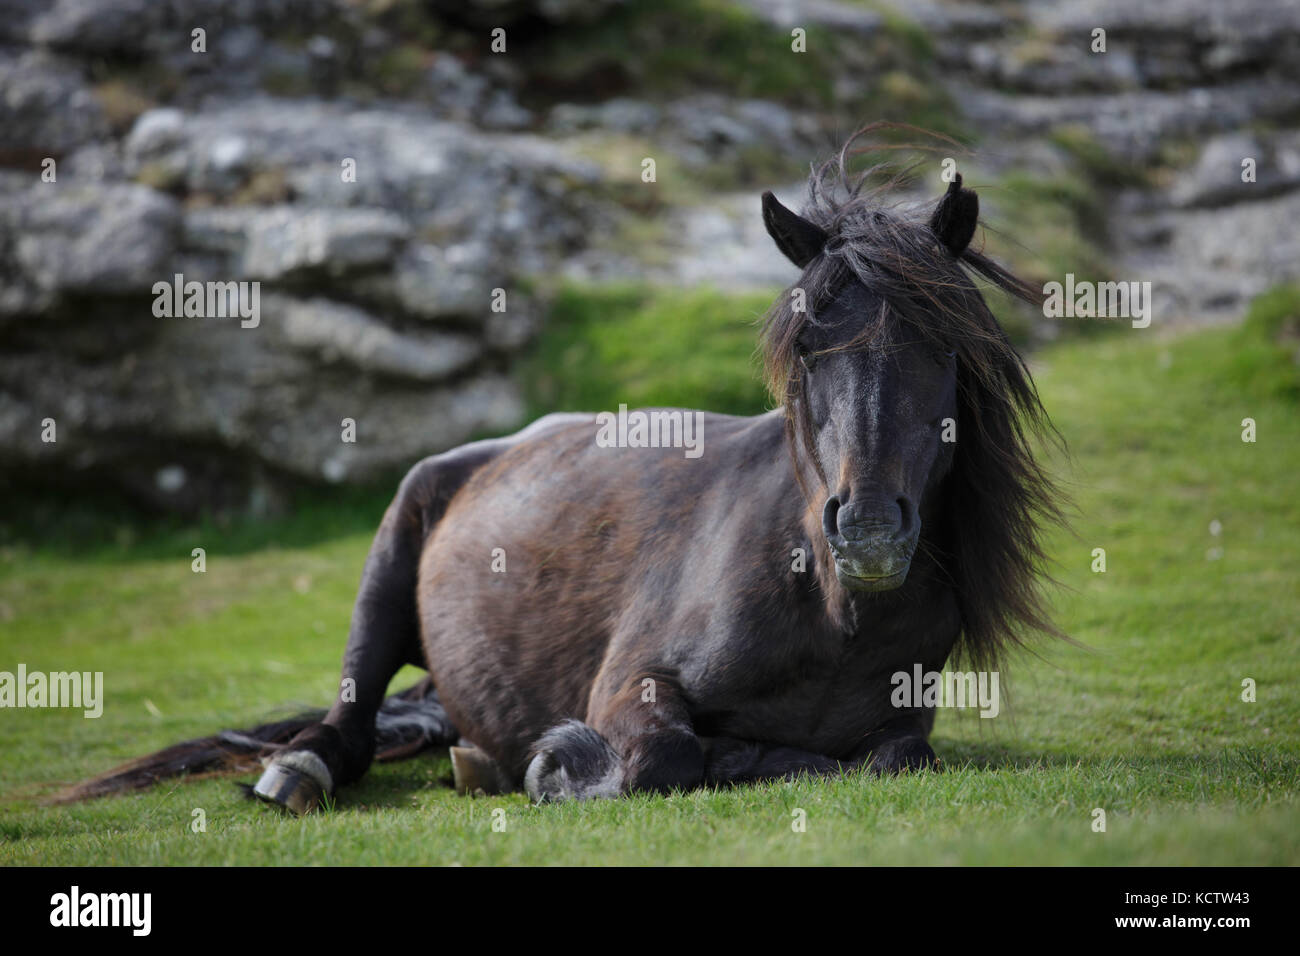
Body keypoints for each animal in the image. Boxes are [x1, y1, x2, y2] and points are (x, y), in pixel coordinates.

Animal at [60, 134, 1064, 813]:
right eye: (806, 350)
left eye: (942, 347)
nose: (867, 533)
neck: (828, 611)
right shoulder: (632, 684)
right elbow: (666, 760)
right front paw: (560, 765)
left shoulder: (904, 728)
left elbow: (889, 757)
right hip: (390, 554)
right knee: (348, 716)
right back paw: (307, 768)